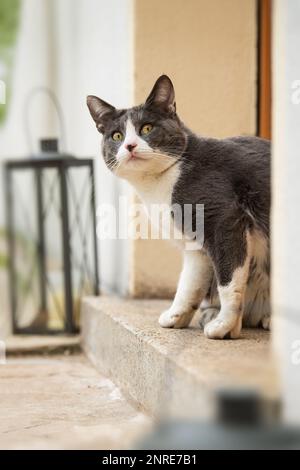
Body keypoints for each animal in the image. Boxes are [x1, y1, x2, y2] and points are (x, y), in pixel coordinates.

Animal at [86, 73, 270, 340]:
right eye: (116, 136)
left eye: (147, 128)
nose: (130, 146)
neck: (157, 185)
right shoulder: (195, 244)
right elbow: (190, 281)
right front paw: (177, 316)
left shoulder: (225, 219)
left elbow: (229, 279)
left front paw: (224, 325)